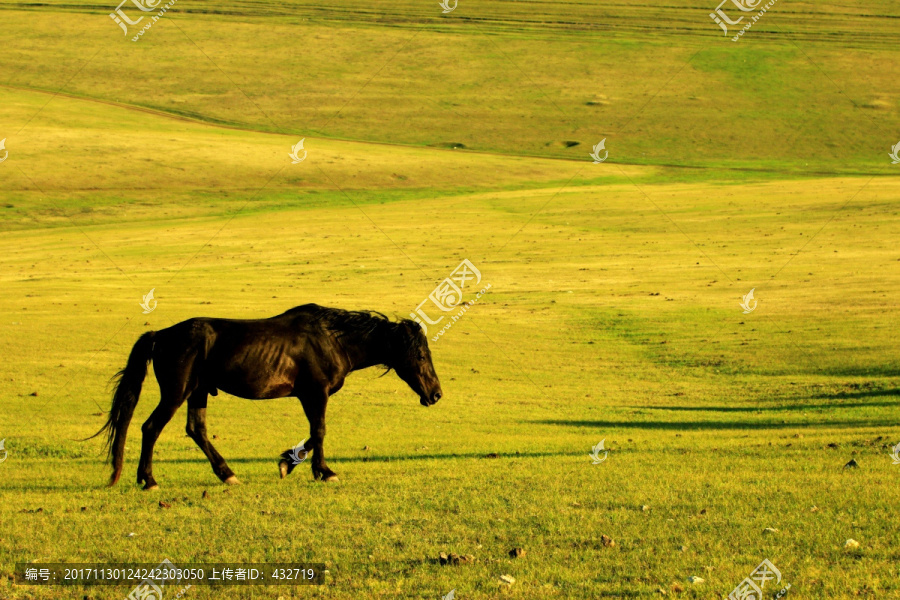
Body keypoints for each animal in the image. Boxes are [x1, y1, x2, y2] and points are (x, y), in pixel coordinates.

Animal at [92, 304, 442, 488]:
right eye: (421, 355)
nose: (436, 394)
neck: (332, 340)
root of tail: (162, 335)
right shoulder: (316, 394)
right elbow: (320, 431)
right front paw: (323, 471)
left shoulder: (309, 396)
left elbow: (313, 434)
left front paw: (288, 462)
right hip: (177, 393)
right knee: (151, 428)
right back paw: (148, 479)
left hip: (198, 392)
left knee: (196, 430)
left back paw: (227, 474)